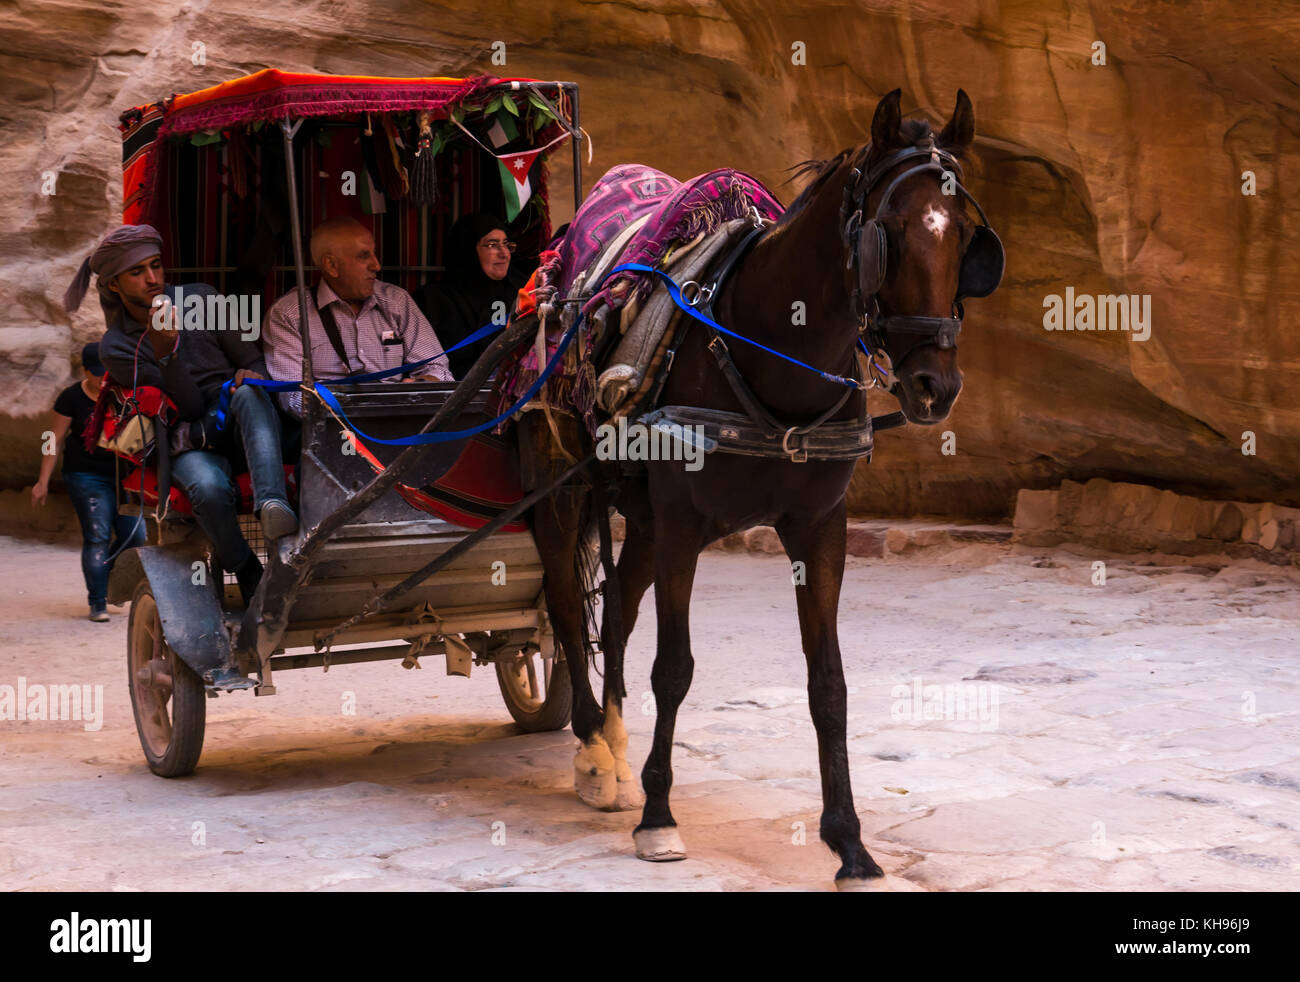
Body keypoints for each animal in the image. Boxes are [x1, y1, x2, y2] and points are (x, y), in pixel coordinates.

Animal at [522, 90, 998, 889]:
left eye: (966, 235)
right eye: (890, 233)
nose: (936, 385)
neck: (770, 352)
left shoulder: (819, 524)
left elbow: (828, 684)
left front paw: (849, 843)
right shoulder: (683, 522)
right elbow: (674, 668)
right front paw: (659, 817)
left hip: (642, 520)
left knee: (614, 610)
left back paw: (614, 747)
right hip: (561, 489)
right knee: (563, 602)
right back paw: (592, 752)